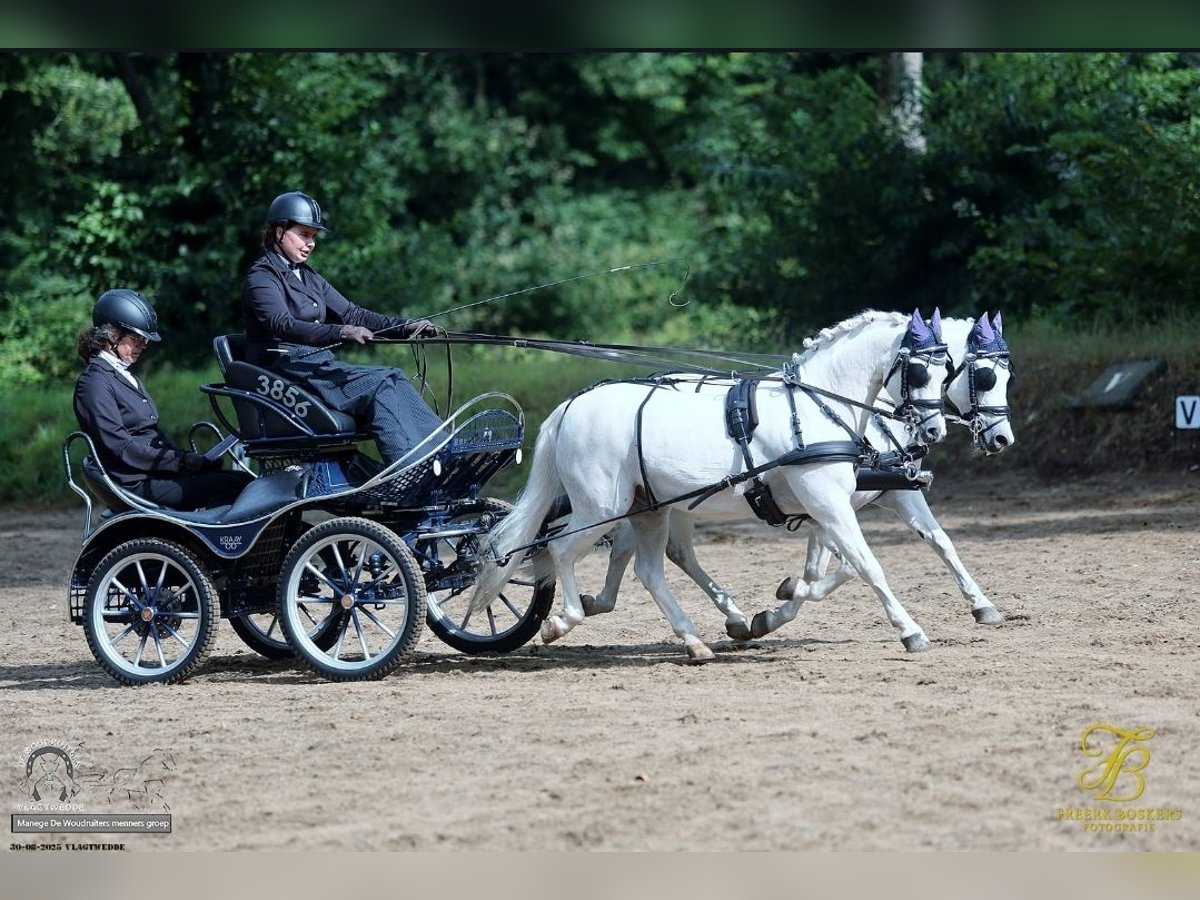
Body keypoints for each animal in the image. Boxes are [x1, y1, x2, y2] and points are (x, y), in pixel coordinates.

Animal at [469, 309, 951, 661]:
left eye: (946, 370)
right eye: (919, 371)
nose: (934, 431)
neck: (814, 406)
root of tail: (570, 406)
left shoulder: (826, 507)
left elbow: (844, 567)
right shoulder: (828, 502)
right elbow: (867, 565)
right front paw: (911, 632)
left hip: (647, 508)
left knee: (648, 569)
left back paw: (695, 641)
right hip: (601, 508)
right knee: (559, 549)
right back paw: (564, 619)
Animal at [581, 312, 1015, 640]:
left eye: (1006, 377)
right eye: (984, 377)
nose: (1002, 439)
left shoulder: (888, 493)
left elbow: (939, 541)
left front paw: (983, 605)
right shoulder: (828, 501)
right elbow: (844, 565)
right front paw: (780, 606)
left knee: (663, 549)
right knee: (652, 547)